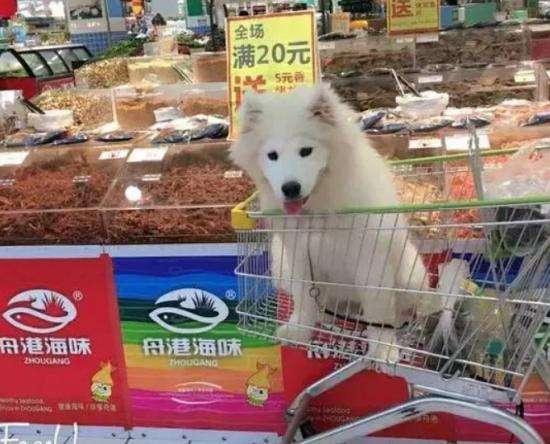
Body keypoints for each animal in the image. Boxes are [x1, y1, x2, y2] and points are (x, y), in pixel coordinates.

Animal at [231, 84, 435, 351]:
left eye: (306, 151)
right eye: (272, 155)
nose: (290, 188)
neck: (318, 212)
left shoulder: (371, 260)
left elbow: (379, 312)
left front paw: (383, 350)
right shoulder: (299, 256)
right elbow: (304, 300)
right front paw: (299, 331)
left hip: (411, 276)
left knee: (408, 306)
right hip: (281, 266)